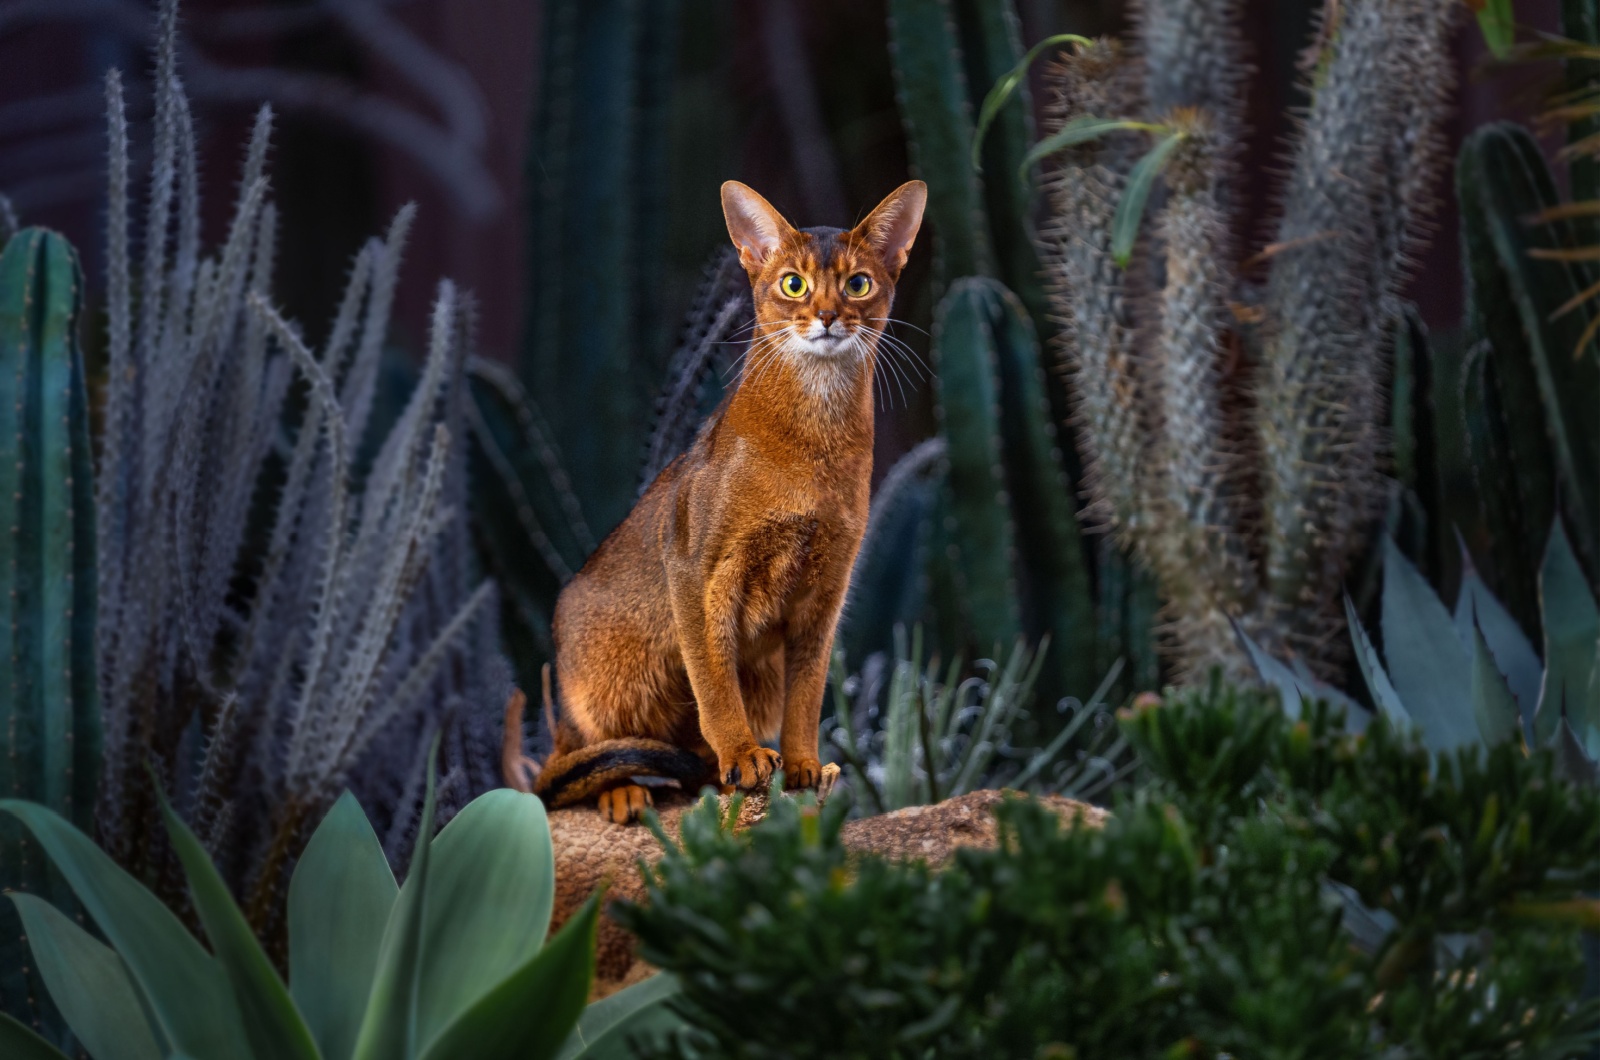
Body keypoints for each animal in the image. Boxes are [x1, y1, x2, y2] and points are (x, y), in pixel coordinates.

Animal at [518, 178, 928, 826]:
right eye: (794, 283)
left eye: (859, 283)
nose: (827, 317)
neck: (812, 445)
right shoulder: (696, 567)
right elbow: (712, 680)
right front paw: (740, 753)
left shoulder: (826, 590)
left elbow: (808, 691)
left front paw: (803, 763)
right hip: (601, 686)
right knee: (584, 752)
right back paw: (627, 789)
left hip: (760, 674)